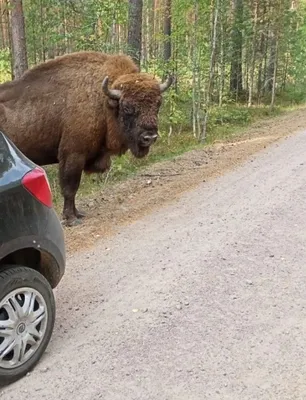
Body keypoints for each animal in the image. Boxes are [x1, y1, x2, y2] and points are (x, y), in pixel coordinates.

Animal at [0, 51, 173, 225]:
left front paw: (78, 214)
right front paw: (71, 219)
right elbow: (70, 188)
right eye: (127, 107)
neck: (103, 101)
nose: (149, 137)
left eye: (158, 104)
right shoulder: (73, 155)